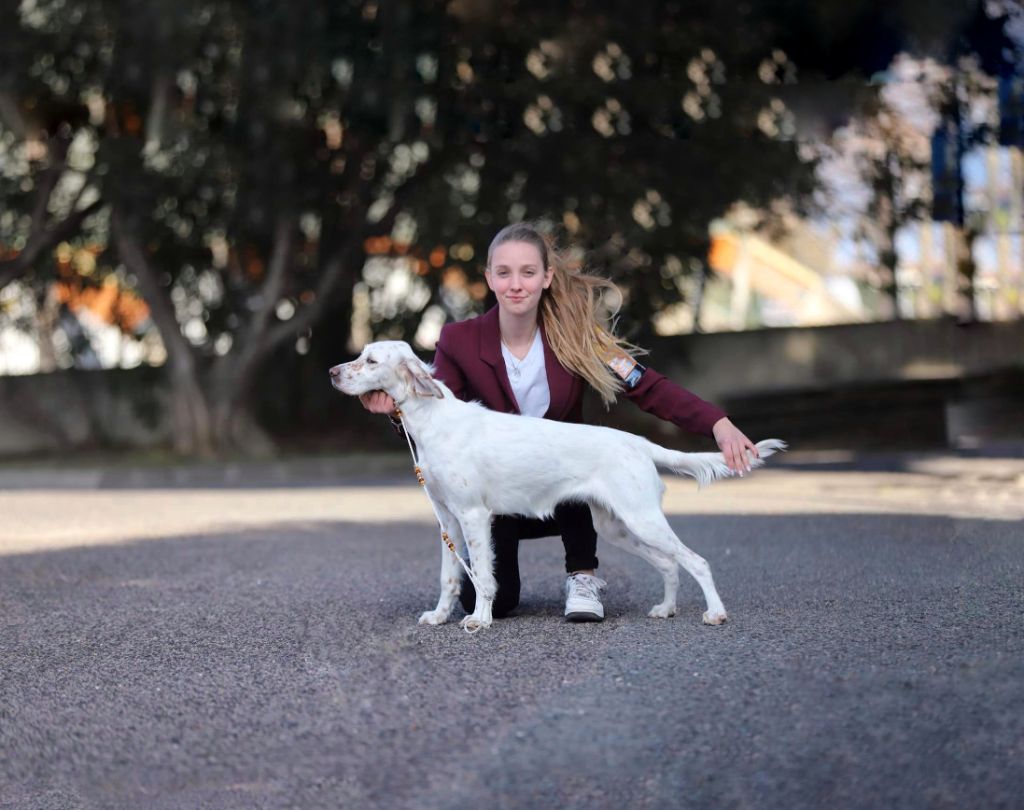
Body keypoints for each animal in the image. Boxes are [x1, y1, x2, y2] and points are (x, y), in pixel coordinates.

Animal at [327, 339, 782, 630]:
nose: (332, 372)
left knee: (696, 561)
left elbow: (484, 577)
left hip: (642, 519)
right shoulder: (447, 521)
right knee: (670, 564)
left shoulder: (473, 516)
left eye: (370, 360)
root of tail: (638, 442)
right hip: (617, 526)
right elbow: (450, 578)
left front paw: (479, 621)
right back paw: (666, 609)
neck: (433, 421)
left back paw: (716, 614)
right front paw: (439, 616)